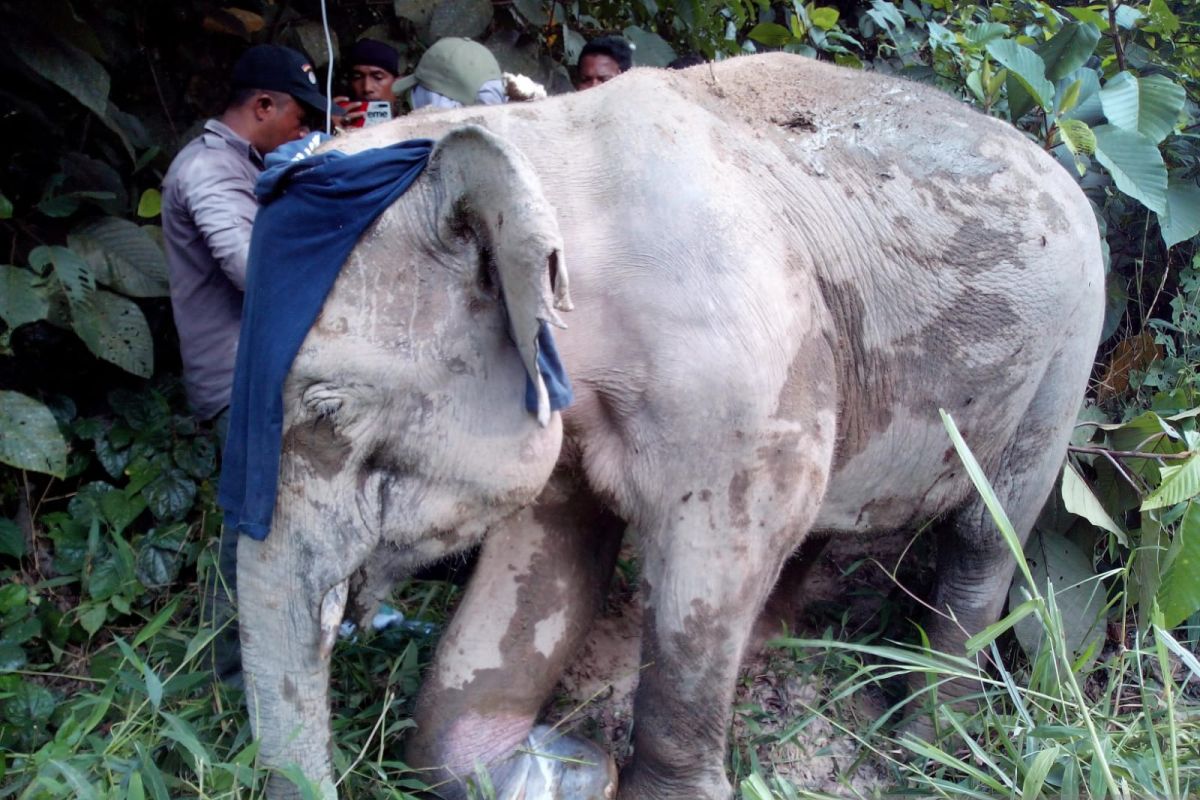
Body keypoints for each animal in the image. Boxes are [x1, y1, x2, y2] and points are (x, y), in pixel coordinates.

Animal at [234, 51, 1104, 800]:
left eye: (328, 410)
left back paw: (926, 745)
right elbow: (548, 557)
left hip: (1065, 360)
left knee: (985, 540)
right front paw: (568, 772)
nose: (576, 751)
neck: (539, 144)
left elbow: (710, 568)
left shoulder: (738, 377)